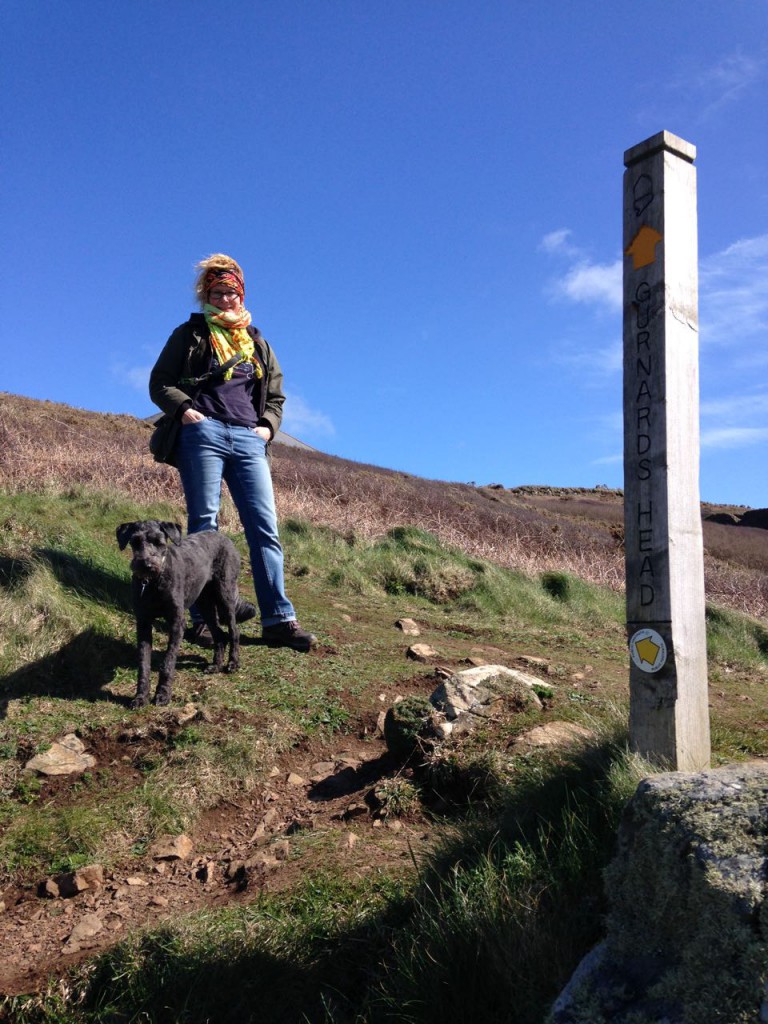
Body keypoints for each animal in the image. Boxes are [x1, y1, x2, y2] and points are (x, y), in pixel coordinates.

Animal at [117, 524, 240, 708]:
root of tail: (224, 537)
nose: (146, 565)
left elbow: (167, 662)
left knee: (233, 630)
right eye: (135, 541)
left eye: (159, 542)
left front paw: (163, 694)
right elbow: (144, 663)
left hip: (225, 593)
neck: (155, 582)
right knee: (219, 634)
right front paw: (140, 697)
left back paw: (233, 663)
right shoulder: (143, 623)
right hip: (204, 603)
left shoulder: (176, 623)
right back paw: (216, 665)